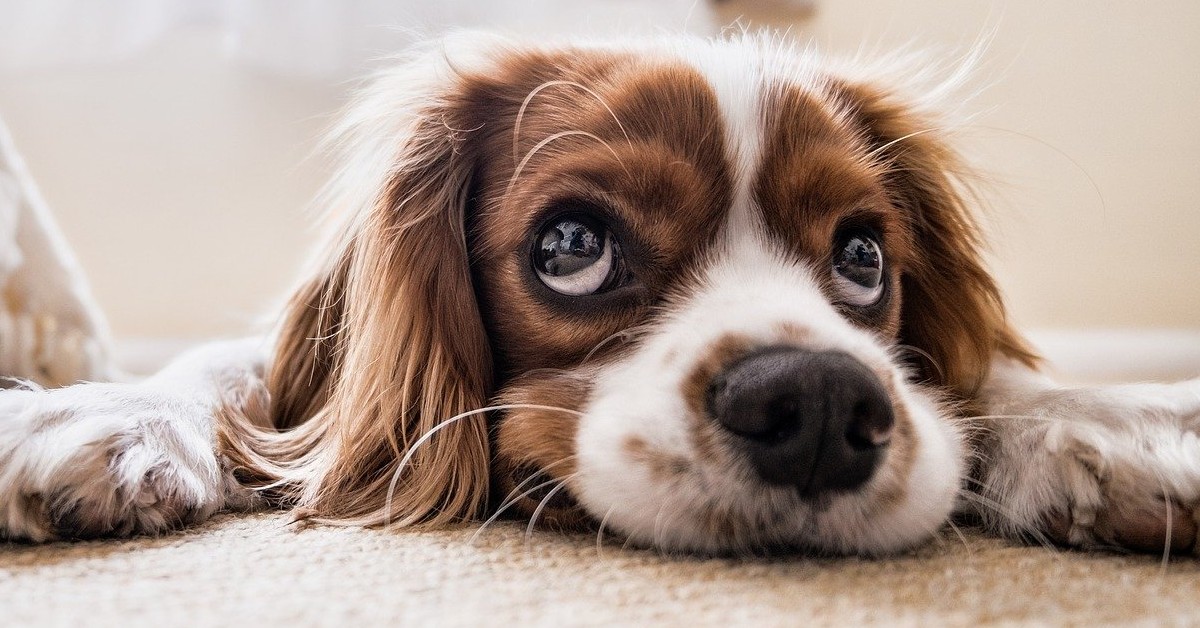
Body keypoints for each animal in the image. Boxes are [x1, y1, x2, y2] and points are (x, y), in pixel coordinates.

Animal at [2, 33, 1200, 554]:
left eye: (864, 258)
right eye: (571, 245)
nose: (817, 404)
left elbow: (988, 375)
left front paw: (1114, 420)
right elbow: (235, 369)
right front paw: (98, 413)